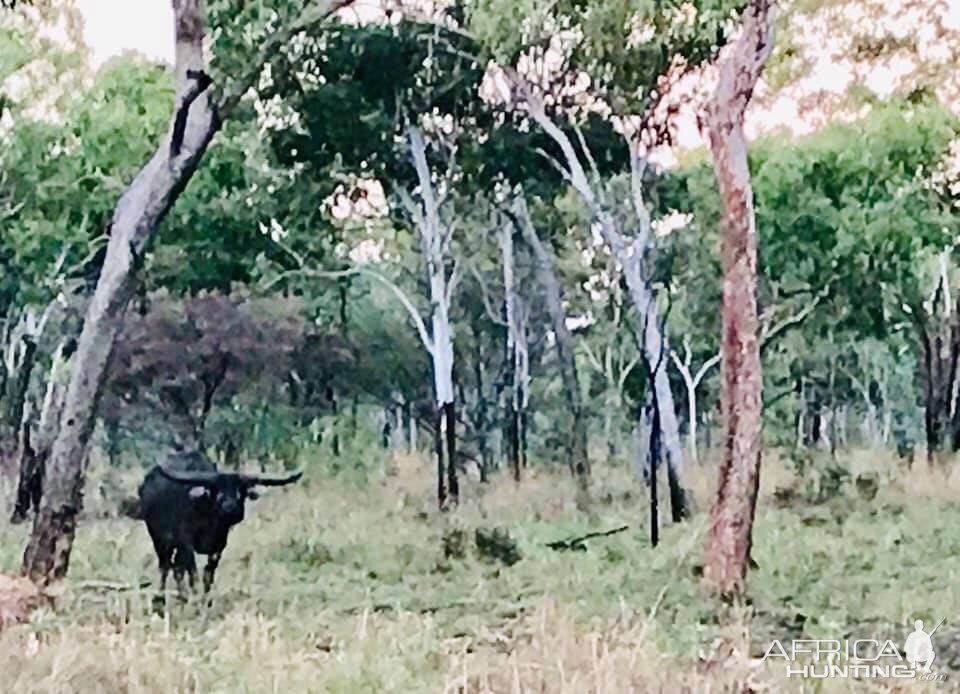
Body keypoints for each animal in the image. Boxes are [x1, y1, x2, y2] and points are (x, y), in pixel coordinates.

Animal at [137, 454, 302, 596]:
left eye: (240, 489)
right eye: (217, 489)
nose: (230, 508)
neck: (209, 520)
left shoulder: (218, 546)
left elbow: (208, 574)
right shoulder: (186, 543)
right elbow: (193, 574)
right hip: (160, 540)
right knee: (165, 566)